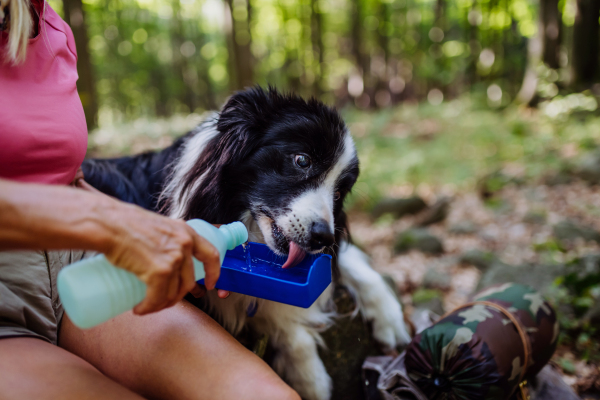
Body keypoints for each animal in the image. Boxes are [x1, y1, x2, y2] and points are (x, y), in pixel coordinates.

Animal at [83, 87, 412, 400]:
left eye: (339, 193)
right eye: (302, 160)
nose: (323, 238)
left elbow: (347, 262)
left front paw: (391, 322)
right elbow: (273, 313)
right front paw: (311, 380)